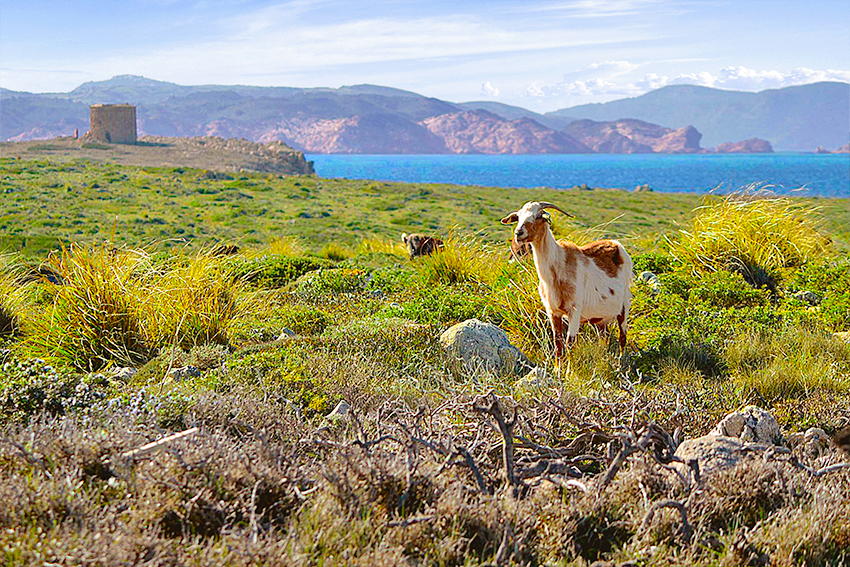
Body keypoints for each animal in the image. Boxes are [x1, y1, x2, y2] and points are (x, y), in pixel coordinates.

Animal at [500, 202, 632, 362]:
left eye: (538, 216)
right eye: (518, 217)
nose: (518, 233)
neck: (558, 267)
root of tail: (616, 244)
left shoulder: (574, 310)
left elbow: (570, 344)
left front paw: (570, 368)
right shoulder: (553, 312)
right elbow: (558, 345)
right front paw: (558, 368)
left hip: (624, 304)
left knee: (622, 337)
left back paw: (621, 363)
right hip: (601, 317)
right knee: (604, 337)